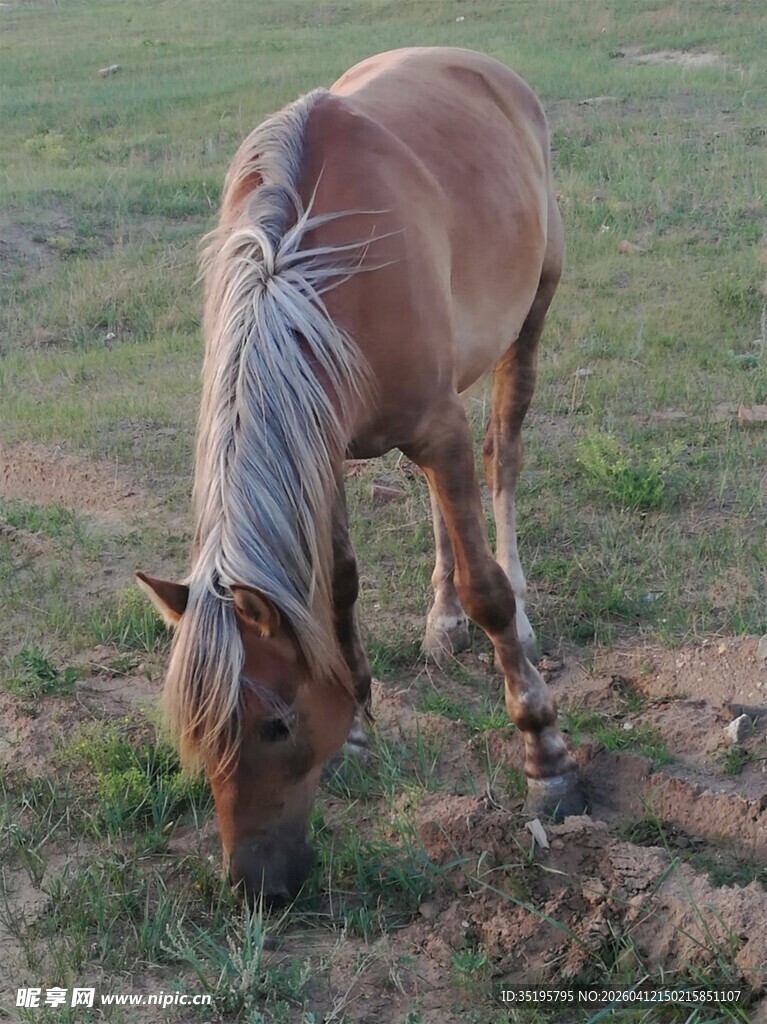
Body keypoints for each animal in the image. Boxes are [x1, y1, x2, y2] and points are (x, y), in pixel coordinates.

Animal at [137, 46, 585, 904]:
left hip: (529, 320)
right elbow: (338, 584)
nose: (254, 888)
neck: (304, 273)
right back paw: (440, 621)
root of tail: (482, 66)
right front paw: (354, 712)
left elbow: (486, 586)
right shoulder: (327, 444)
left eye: (275, 724)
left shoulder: (435, 427)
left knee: (502, 458)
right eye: (196, 736)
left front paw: (543, 752)